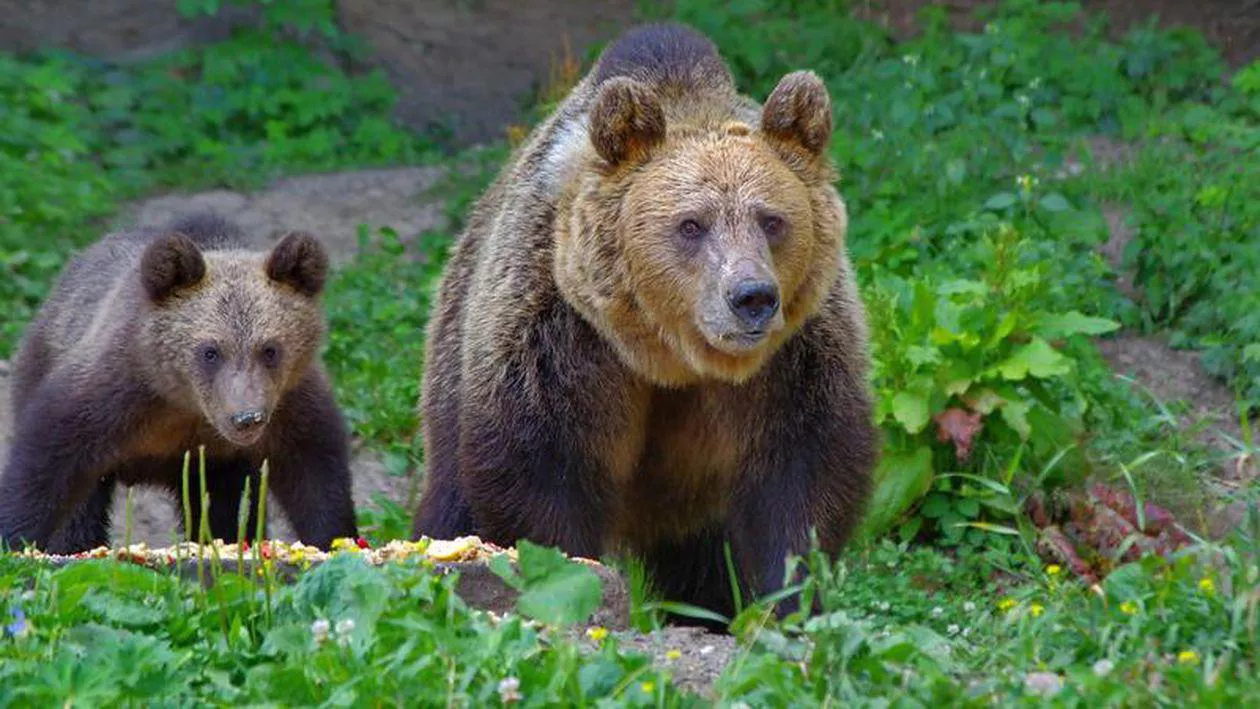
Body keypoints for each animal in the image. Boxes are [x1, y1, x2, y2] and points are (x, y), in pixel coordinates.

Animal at [3, 212, 360, 554]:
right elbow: (49, 464)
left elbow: (315, 474)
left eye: (270, 348)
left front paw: (334, 540)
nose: (247, 418)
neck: (186, 403)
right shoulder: (112, 393)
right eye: (210, 351)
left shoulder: (288, 404)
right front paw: (15, 537)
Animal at [413, 22, 876, 622]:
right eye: (691, 224)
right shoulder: (559, 335)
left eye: (772, 220)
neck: (672, 356)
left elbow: (800, 473)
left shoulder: (794, 357)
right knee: (450, 501)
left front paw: (788, 599)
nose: (752, 297)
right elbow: (541, 471)